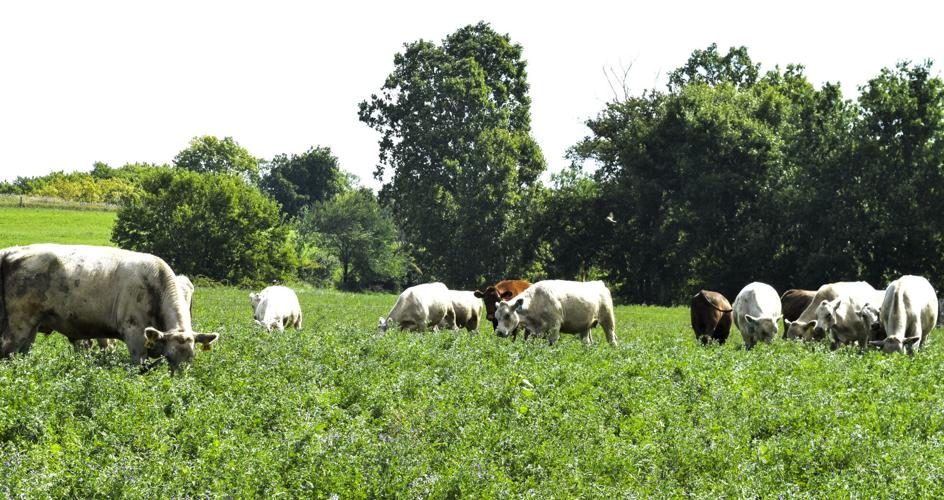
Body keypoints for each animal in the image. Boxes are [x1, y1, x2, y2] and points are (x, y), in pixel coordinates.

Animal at [0, 244, 218, 373]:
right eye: (170, 357)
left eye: (191, 358)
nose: (180, 384)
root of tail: (11, 252)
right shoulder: (135, 336)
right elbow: (138, 368)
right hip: (19, 322)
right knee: (8, 351)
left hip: (32, 326)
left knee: (23, 352)